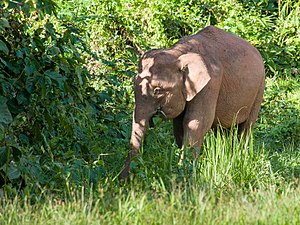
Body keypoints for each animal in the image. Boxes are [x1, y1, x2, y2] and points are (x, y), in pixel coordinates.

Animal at [120, 25, 264, 178]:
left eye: (157, 90)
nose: (123, 180)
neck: (178, 53)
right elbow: (179, 126)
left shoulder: (210, 84)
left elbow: (195, 122)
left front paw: (183, 173)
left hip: (259, 89)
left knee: (246, 127)